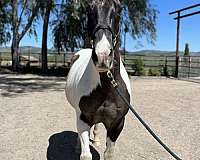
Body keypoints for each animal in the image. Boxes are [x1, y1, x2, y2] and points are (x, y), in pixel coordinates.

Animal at [65, 0, 131, 159]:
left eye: (119, 10)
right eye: (89, 10)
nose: (102, 56)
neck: (108, 89)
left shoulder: (117, 124)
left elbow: (109, 154)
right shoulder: (83, 118)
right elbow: (85, 155)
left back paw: (95, 140)